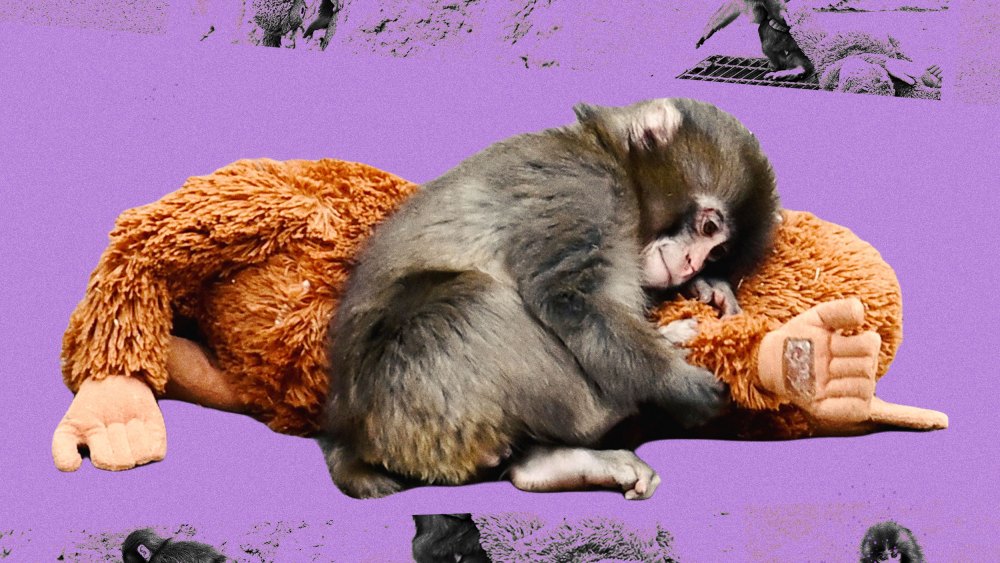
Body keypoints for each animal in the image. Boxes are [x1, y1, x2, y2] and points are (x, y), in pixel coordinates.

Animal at [321, 97, 780, 500]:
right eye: (708, 228)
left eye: (717, 252)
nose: (691, 264)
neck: (609, 156)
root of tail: (348, 434)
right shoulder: (584, 188)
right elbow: (569, 295)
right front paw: (674, 383)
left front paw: (709, 287)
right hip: (409, 399)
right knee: (472, 300)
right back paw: (613, 407)